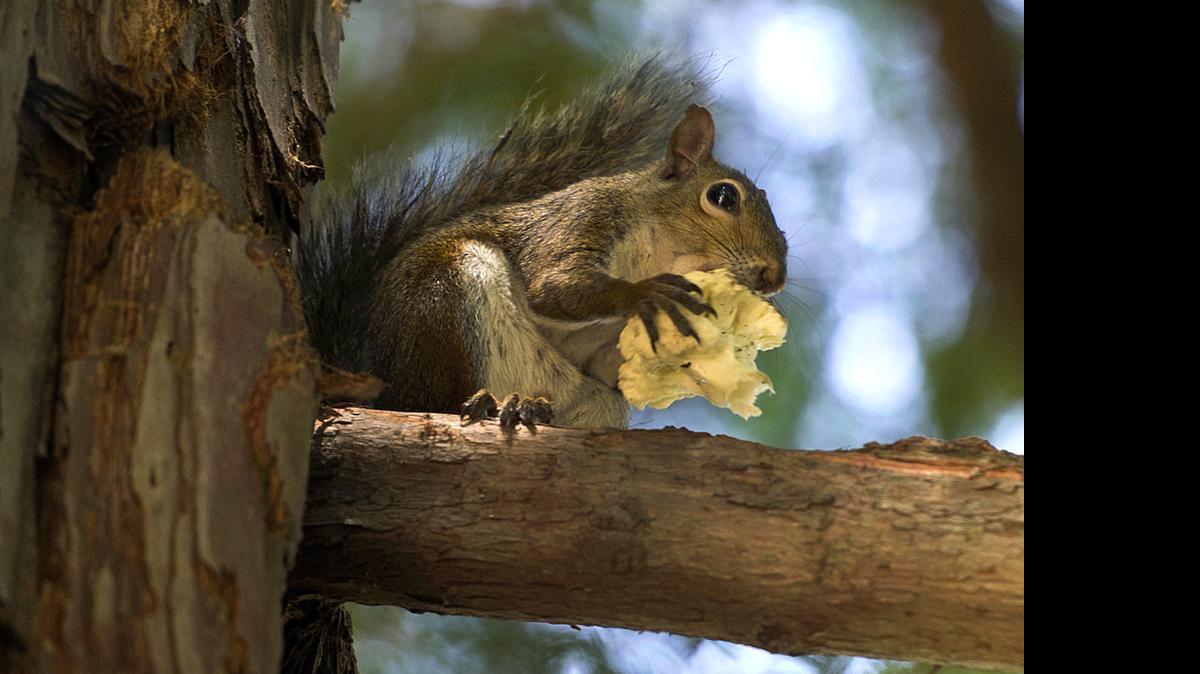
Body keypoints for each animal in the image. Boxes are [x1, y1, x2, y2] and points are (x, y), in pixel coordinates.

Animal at [296, 57, 788, 430]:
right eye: (723, 196)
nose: (774, 277)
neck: (656, 251)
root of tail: (387, 387)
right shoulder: (578, 221)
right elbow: (553, 286)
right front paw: (646, 294)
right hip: (449, 302)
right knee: (438, 399)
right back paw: (485, 403)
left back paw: (530, 407)